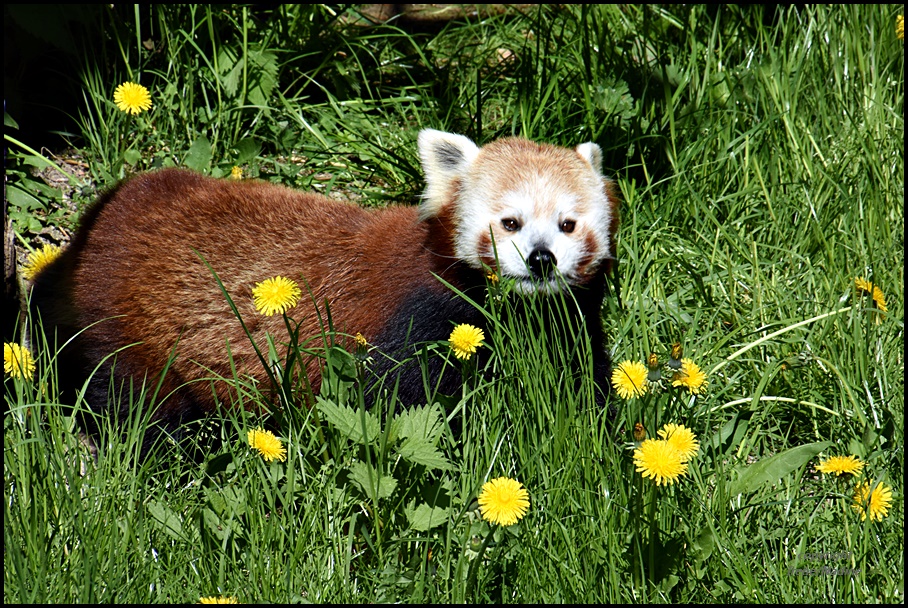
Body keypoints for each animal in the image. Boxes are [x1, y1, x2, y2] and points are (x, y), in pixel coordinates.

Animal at [31, 129, 620, 442]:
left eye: (568, 224)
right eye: (510, 223)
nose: (541, 260)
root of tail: (103, 221)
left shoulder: (565, 320)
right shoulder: (417, 321)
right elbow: (402, 409)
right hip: (133, 337)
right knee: (137, 408)